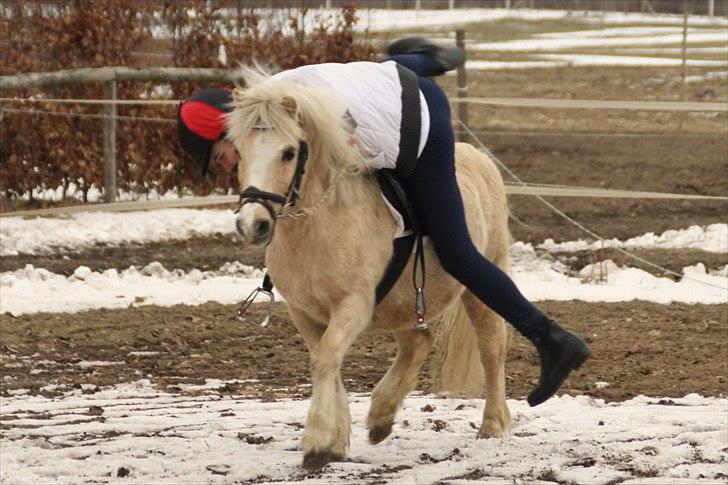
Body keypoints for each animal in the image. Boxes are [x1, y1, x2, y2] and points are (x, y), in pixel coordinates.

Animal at [228, 70, 512, 470]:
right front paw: (335, 440)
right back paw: (381, 417)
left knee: (491, 348)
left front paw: (317, 441)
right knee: (417, 342)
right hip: (403, 301)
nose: (252, 224)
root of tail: (481, 159)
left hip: (478, 286)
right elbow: (326, 361)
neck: (316, 225)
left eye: (288, 153)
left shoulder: (353, 306)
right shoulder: (303, 312)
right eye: (238, 150)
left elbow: (325, 358)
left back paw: (493, 424)